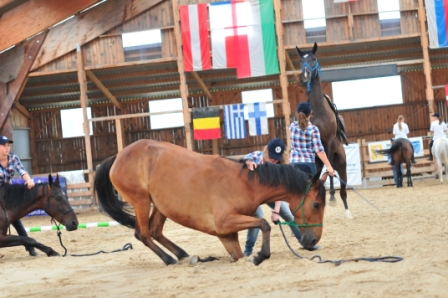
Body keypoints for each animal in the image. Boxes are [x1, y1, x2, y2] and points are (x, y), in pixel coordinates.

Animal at [94, 139, 328, 266]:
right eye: (316, 205)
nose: (313, 240)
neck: (246, 183)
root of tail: (118, 156)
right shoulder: (224, 224)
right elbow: (264, 224)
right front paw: (261, 255)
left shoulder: (227, 235)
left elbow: (240, 254)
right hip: (141, 201)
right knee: (142, 233)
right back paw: (170, 259)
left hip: (161, 205)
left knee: (154, 231)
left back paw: (183, 255)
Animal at [298, 42, 354, 219]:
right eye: (300, 60)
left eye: (313, 58)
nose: (306, 74)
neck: (318, 110)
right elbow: (317, 171)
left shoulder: (328, 142)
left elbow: (328, 170)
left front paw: (331, 197)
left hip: (342, 165)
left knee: (343, 189)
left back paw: (347, 211)